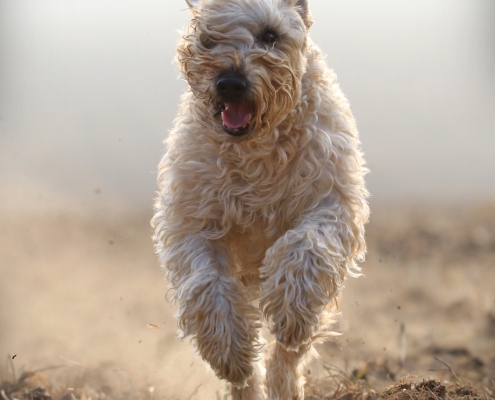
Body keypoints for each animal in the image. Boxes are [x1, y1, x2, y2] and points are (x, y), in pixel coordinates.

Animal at [153, 1, 370, 398]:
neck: (256, 150)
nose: (230, 82)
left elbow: (306, 245)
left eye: (270, 35)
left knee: (290, 354)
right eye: (207, 33)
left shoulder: (332, 202)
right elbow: (207, 285)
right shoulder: (193, 221)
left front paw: (291, 310)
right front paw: (229, 351)